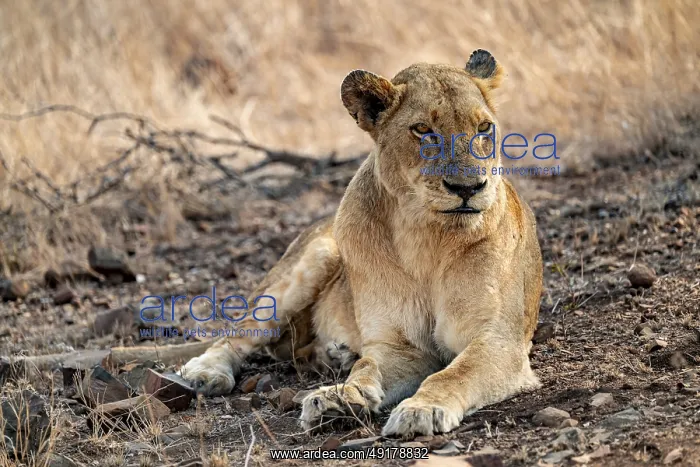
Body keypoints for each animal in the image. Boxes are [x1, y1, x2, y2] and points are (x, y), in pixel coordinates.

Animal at [179, 49, 544, 437]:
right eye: (423, 130)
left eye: (483, 128)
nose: (468, 188)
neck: (427, 237)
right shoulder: (398, 346)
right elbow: (368, 367)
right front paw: (341, 397)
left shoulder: (499, 342)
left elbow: (455, 374)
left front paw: (421, 409)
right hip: (314, 259)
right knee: (238, 335)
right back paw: (206, 372)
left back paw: (333, 356)